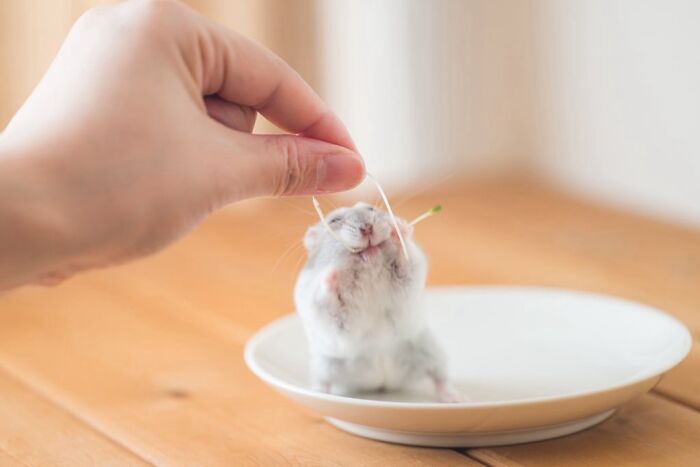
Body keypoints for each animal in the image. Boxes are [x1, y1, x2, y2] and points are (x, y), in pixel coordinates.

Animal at [294, 202, 462, 403]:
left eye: (371, 209)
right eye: (334, 220)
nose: (367, 227)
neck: (369, 266)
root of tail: (382, 382)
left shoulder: (409, 276)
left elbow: (407, 262)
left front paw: (399, 228)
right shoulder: (326, 311)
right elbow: (329, 301)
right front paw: (331, 275)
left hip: (430, 352)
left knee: (439, 378)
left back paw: (456, 398)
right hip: (325, 365)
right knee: (324, 382)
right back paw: (319, 394)